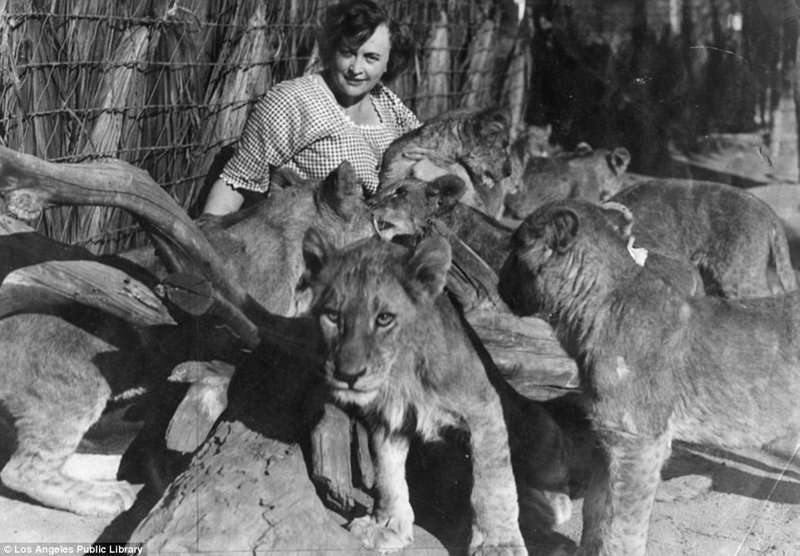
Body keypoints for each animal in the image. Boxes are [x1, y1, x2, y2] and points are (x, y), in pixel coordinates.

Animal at [302, 230, 576, 552]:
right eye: (332, 316)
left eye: (384, 318)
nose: (348, 375)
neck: (402, 372)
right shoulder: (389, 419)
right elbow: (387, 475)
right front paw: (386, 526)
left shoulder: (486, 409)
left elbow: (492, 483)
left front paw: (497, 544)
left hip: (536, 430)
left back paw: (540, 506)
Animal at [496, 200, 800, 556]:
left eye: (515, 248)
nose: (499, 279)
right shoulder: (609, 436)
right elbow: (596, 509)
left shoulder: (639, 442)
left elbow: (623, 527)